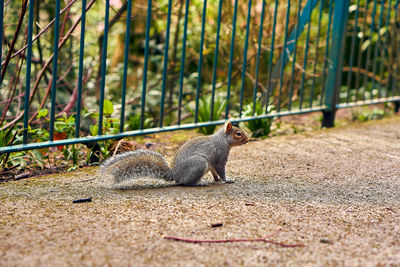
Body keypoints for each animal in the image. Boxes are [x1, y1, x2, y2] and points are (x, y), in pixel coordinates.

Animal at [100, 122, 247, 186]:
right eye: (238, 133)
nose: (247, 139)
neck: (223, 139)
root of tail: (176, 175)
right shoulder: (220, 157)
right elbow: (220, 170)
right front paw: (227, 180)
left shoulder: (212, 164)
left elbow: (214, 172)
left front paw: (216, 179)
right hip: (199, 163)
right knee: (186, 183)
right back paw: (199, 183)